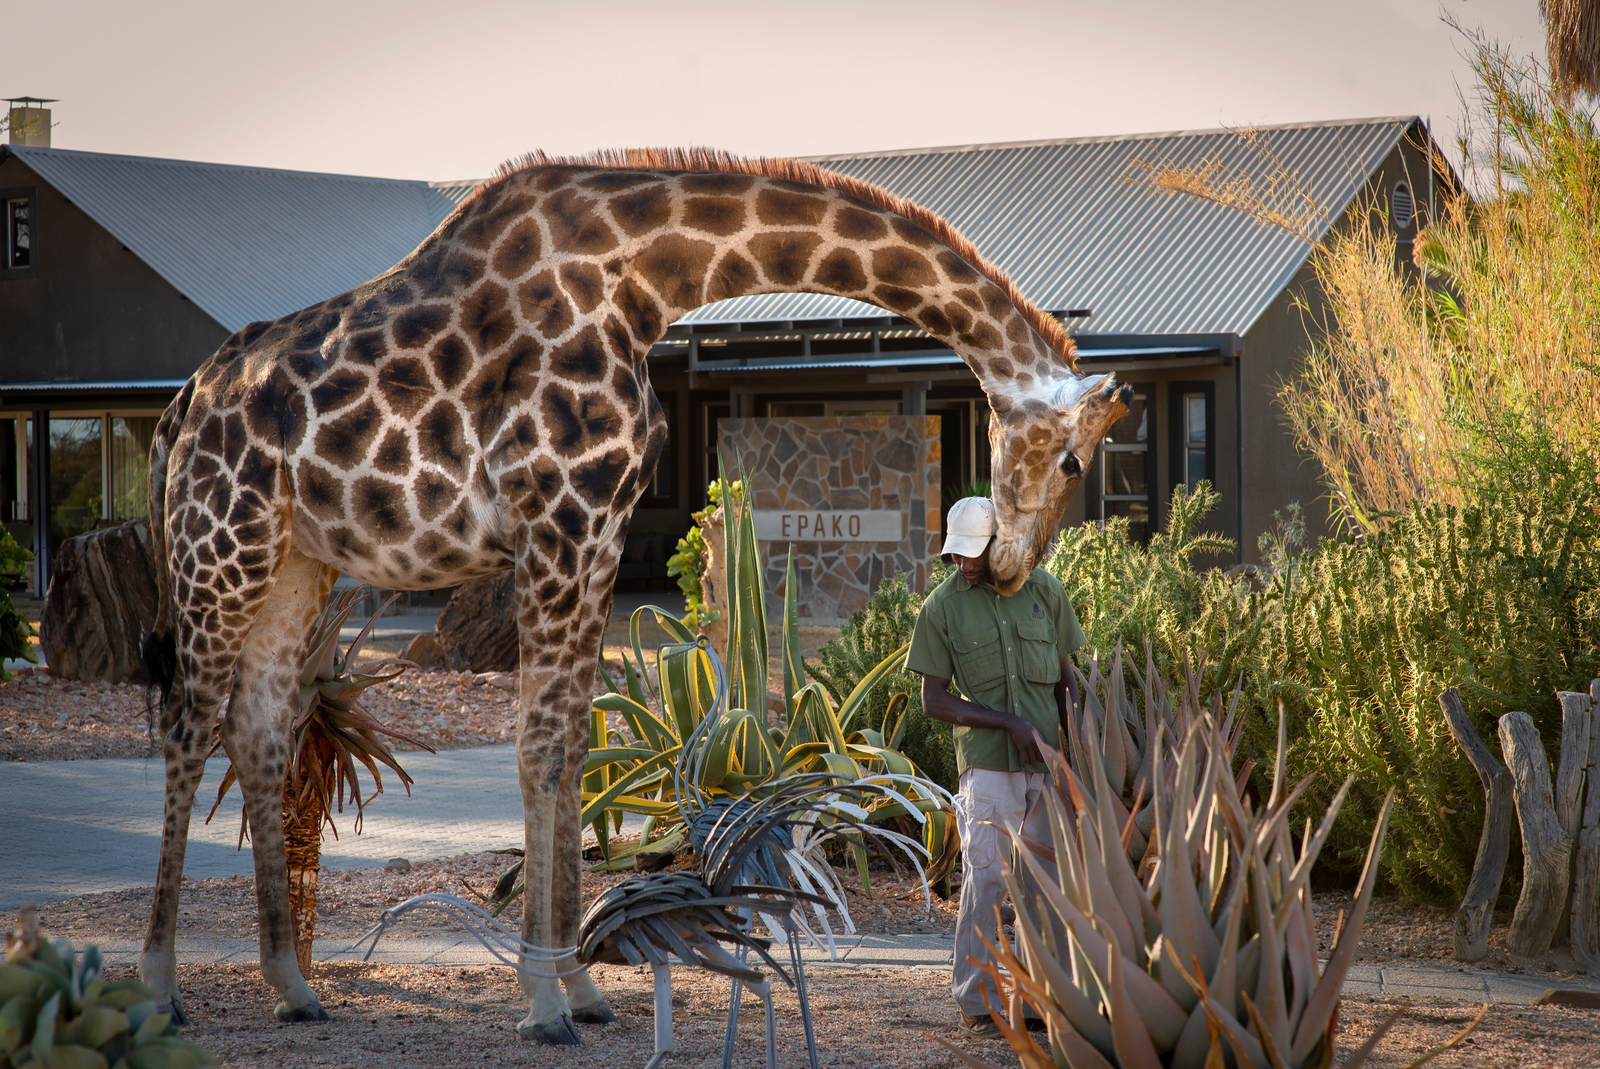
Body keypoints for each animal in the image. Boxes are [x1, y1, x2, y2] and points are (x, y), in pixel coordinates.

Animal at [137, 148, 1132, 1043]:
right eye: (1073, 459)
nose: (1011, 568)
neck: (645, 280)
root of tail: (183, 403)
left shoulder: (600, 533)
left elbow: (575, 743)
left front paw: (580, 987)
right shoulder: (558, 521)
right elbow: (541, 745)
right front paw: (544, 1002)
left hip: (296, 562)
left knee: (260, 730)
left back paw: (292, 985)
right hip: (220, 541)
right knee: (188, 721)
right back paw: (162, 987)